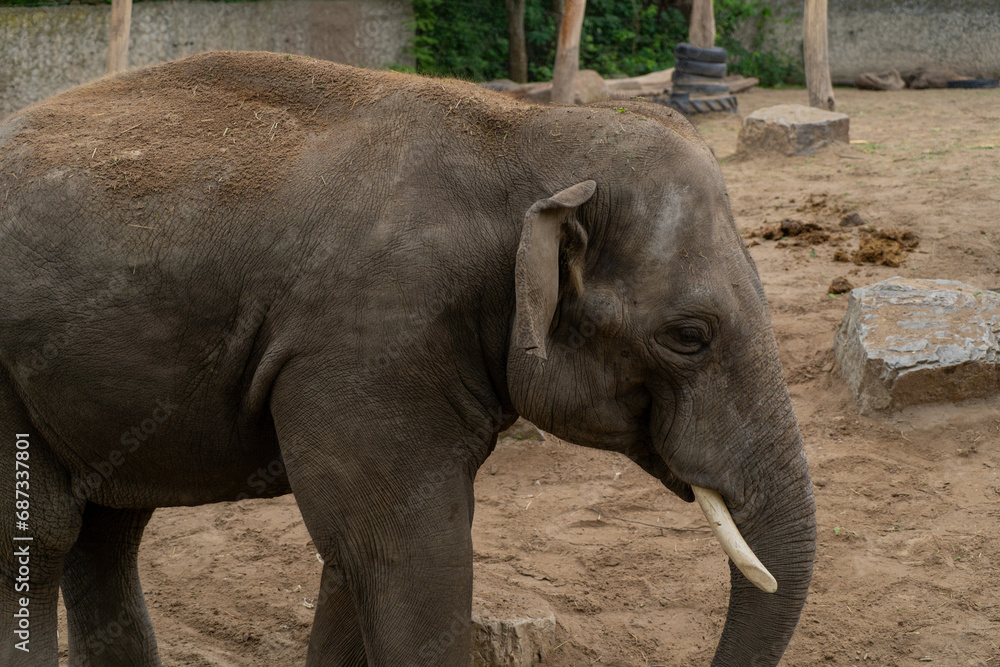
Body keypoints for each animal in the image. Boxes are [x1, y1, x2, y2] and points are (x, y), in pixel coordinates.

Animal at [0, 51, 815, 665]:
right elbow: (408, 553)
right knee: (40, 536)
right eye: (689, 335)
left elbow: (353, 559)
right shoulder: (371, 341)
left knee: (108, 533)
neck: (521, 134)